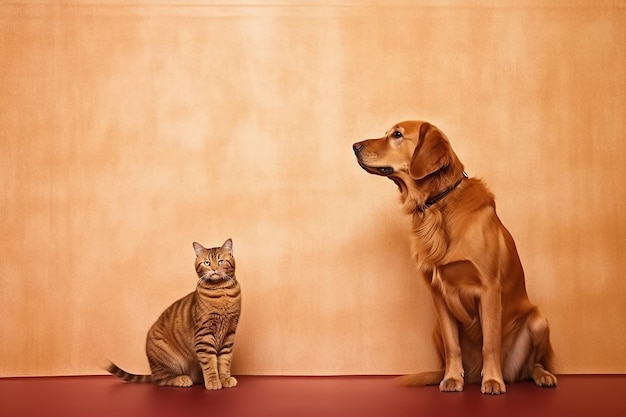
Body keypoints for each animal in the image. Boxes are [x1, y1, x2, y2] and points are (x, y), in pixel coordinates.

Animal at [103, 239, 240, 388]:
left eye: (220, 261)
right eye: (207, 263)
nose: (214, 269)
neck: (221, 292)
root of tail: (153, 371)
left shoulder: (229, 334)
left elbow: (224, 361)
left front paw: (225, 379)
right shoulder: (204, 335)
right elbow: (209, 362)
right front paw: (213, 381)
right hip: (168, 359)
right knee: (161, 380)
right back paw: (182, 379)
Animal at [352, 120, 556, 394]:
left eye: (397, 134)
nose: (355, 146)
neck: (437, 206)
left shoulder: (489, 289)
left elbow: (490, 342)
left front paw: (493, 381)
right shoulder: (439, 293)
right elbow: (453, 346)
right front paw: (451, 379)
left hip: (538, 320)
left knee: (533, 364)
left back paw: (542, 375)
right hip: (436, 329)